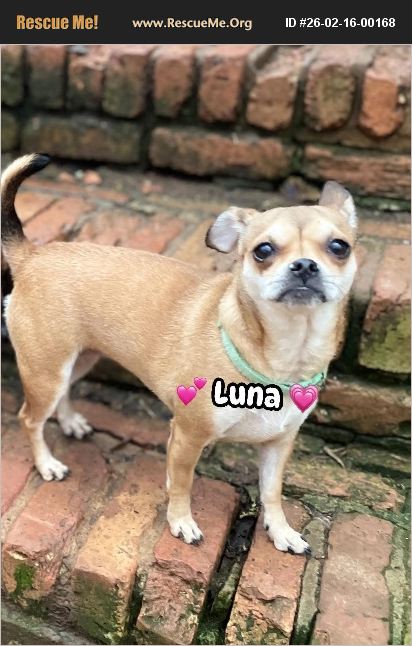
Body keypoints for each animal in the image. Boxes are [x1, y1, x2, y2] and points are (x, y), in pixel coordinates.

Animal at [2, 154, 357, 554]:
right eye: (263, 251)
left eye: (340, 247)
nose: (305, 266)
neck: (284, 356)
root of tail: (32, 255)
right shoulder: (188, 436)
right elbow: (183, 484)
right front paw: (181, 521)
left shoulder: (277, 445)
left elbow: (271, 492)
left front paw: (281, 531)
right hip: (46, 371)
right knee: (30, 418)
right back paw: (47, 462)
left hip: (78, 360)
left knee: (64, 393)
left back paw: (69, 421)